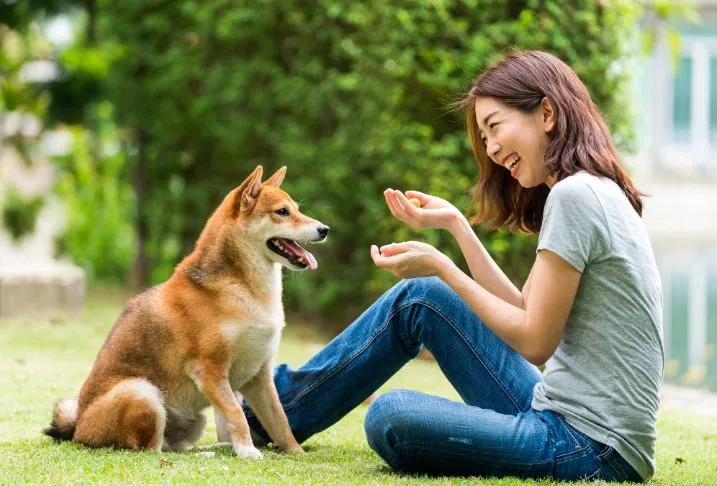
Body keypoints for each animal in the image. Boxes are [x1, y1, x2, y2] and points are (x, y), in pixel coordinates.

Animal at [46, 167, 332, 460]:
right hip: (142, 392)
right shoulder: (209, 370)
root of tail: (79, 428)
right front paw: (247, 451)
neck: (243, 288)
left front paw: (296, 453)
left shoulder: (259, 376)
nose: (325, 229)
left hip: (193, 418)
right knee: (153, 450)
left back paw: (215, 448)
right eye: (282, 212)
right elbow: (237, 415)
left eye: (297, 209)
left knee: (173, 446)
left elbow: (280, 422)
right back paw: (205, 454)